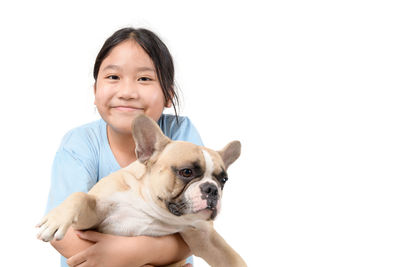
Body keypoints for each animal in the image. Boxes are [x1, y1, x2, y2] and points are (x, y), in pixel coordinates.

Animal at [37, 114, 245, 266]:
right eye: (186, 172)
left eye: (223, 180)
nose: (212, 189)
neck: (148, 204)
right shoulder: (90, 220)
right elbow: (79, 195)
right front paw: (56, 219)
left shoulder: (204, 235)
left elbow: (232, 258)